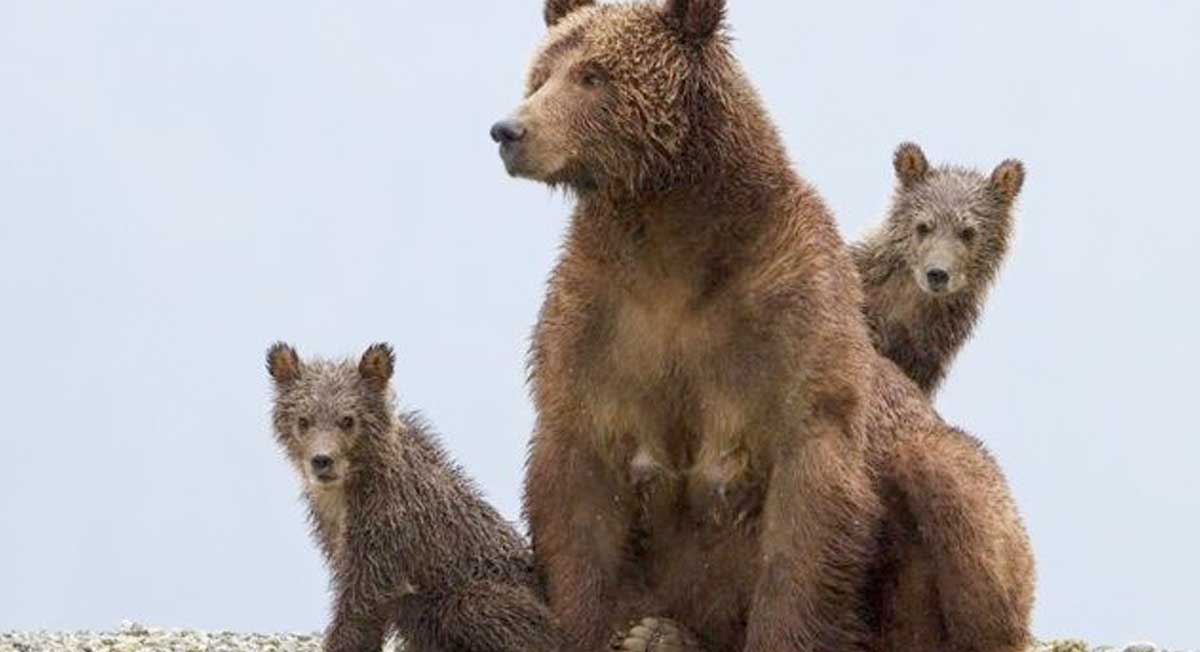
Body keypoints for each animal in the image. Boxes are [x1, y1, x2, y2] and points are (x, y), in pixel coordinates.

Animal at [266, 341, 561, 652]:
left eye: (347, 419)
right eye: (303, 420)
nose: (322, 461)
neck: (348, 490)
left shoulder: (388, 525)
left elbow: (363, 600)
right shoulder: (332, 529)